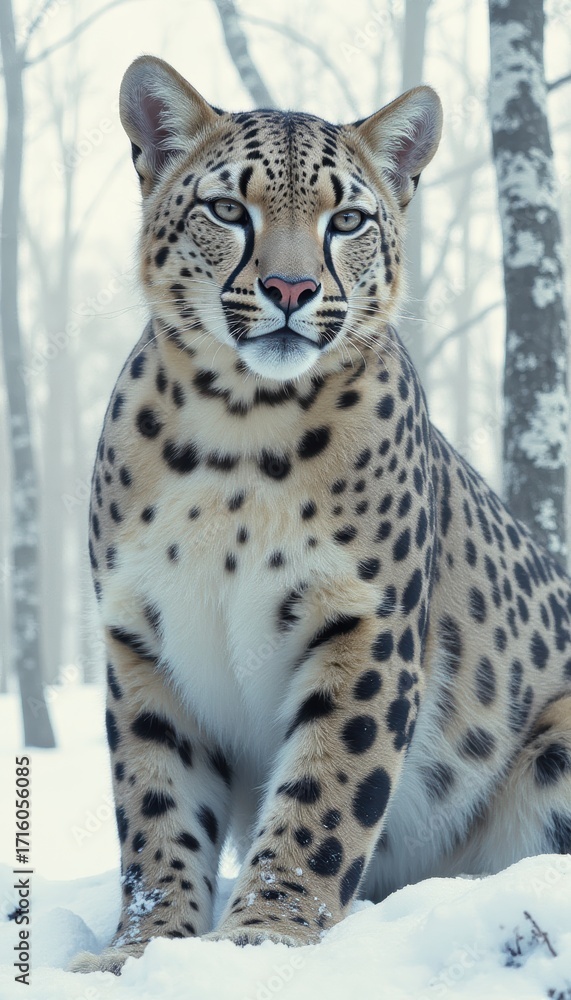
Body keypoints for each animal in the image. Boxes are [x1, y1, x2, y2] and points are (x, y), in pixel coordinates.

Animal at [71, 55, 571, 975]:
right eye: (228, 210)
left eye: (346, 221)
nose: (291, 288)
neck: (235, 433)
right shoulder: (142, 636)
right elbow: (156, 806)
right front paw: (142, 947)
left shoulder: (364, 625)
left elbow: (324, 796)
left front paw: (265, 934)